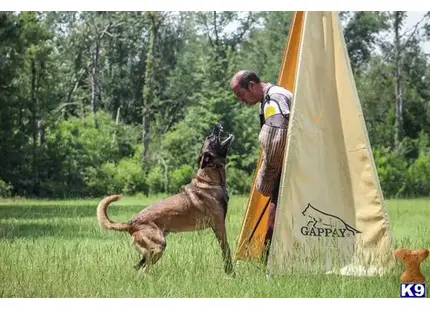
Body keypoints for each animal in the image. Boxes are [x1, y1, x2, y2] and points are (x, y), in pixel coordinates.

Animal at [96, 122, 235, 274]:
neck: (210, 179)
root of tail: (131, 223)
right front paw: (230, 273)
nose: (217, 124)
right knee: (143, 270)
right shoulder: (219, 226)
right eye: (211, 138)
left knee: (138, 267)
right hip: (158, 246)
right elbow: (226, 251)